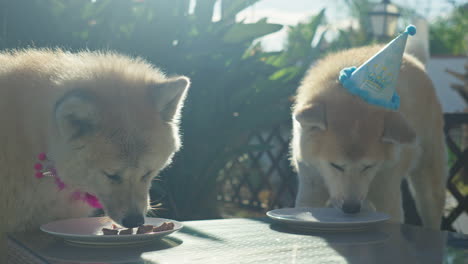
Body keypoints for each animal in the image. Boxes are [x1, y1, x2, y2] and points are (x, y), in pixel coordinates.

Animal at [290, 45, 448, 229]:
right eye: (335, 165)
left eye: (368, 166)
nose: (351, 208)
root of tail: (413, 59)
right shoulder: (310, 184)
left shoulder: (387, 190)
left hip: (428, 180)